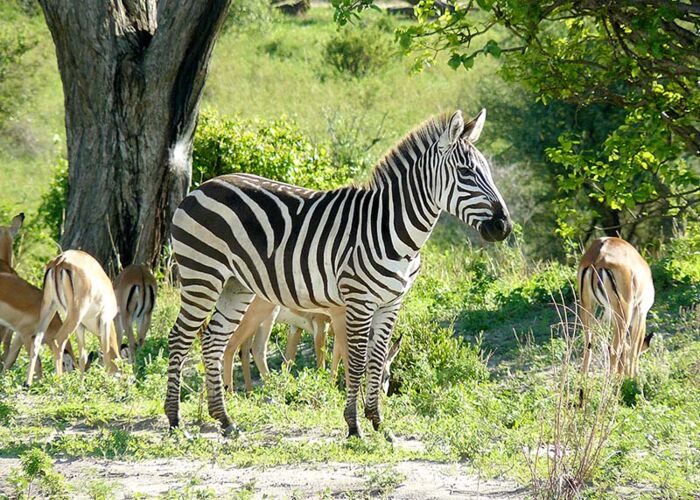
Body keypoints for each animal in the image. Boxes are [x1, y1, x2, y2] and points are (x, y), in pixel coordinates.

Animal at [27, 250, 120, 386]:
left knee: (36, 339)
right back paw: (59, 383)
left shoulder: (81, 327)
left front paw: (81, 385)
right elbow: (107, 355)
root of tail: (61, 260)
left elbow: (83, 357)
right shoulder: (105, 321)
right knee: (58, 341)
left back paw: (27, 383)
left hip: (49, 308)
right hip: (75, 314)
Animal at [166, 109, 512, 438]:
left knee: (213, 340)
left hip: (236, 285)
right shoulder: (358, 300)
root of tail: (201, 188)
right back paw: (174, 421)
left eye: (487, 171)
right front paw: (354, 426)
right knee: (180, 337)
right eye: (466, 173)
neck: (393, 228)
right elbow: (355, 361)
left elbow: (376, 359)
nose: (504, 226)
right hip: (202, 275)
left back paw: (224, 420)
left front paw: (378, 424)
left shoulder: (391, 303)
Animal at [576, 236, 652, 376]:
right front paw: (633, 376)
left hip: (587, 308)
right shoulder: (641, 313)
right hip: (624, 314)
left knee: (588, 348)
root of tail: (599, 256)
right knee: (614, 349)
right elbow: (634, 349)